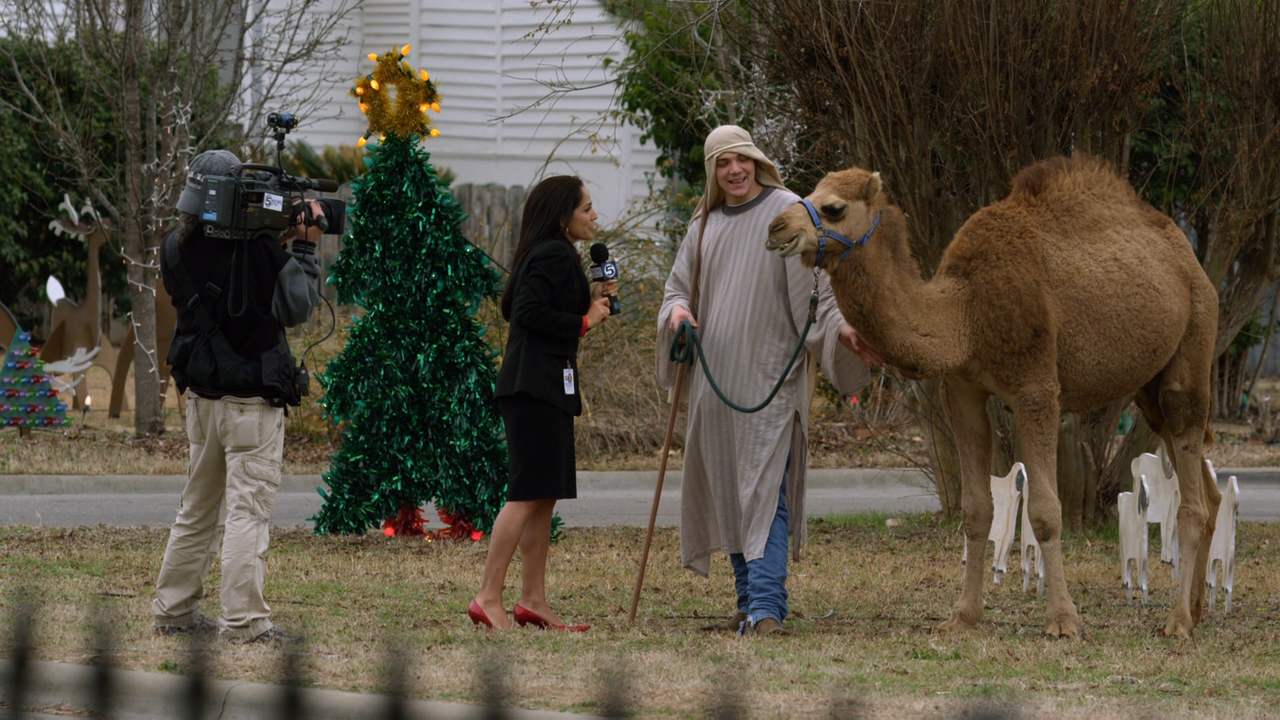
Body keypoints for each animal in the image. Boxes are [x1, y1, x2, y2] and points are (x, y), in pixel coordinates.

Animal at [768, 154, 1218, 635]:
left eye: (833, 207)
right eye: (810, 193)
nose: (776, 227)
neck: (964, 313)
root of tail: (1190, 261)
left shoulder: (1036, 388)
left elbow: (1044, 511)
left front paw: (1063, 620)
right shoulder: (962, 391)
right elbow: (976, 509)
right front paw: (963, 615)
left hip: (1192, 350)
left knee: (1191, 497)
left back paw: (1178, 622)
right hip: (1149, 391)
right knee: (1207, 492)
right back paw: (1197, 610)